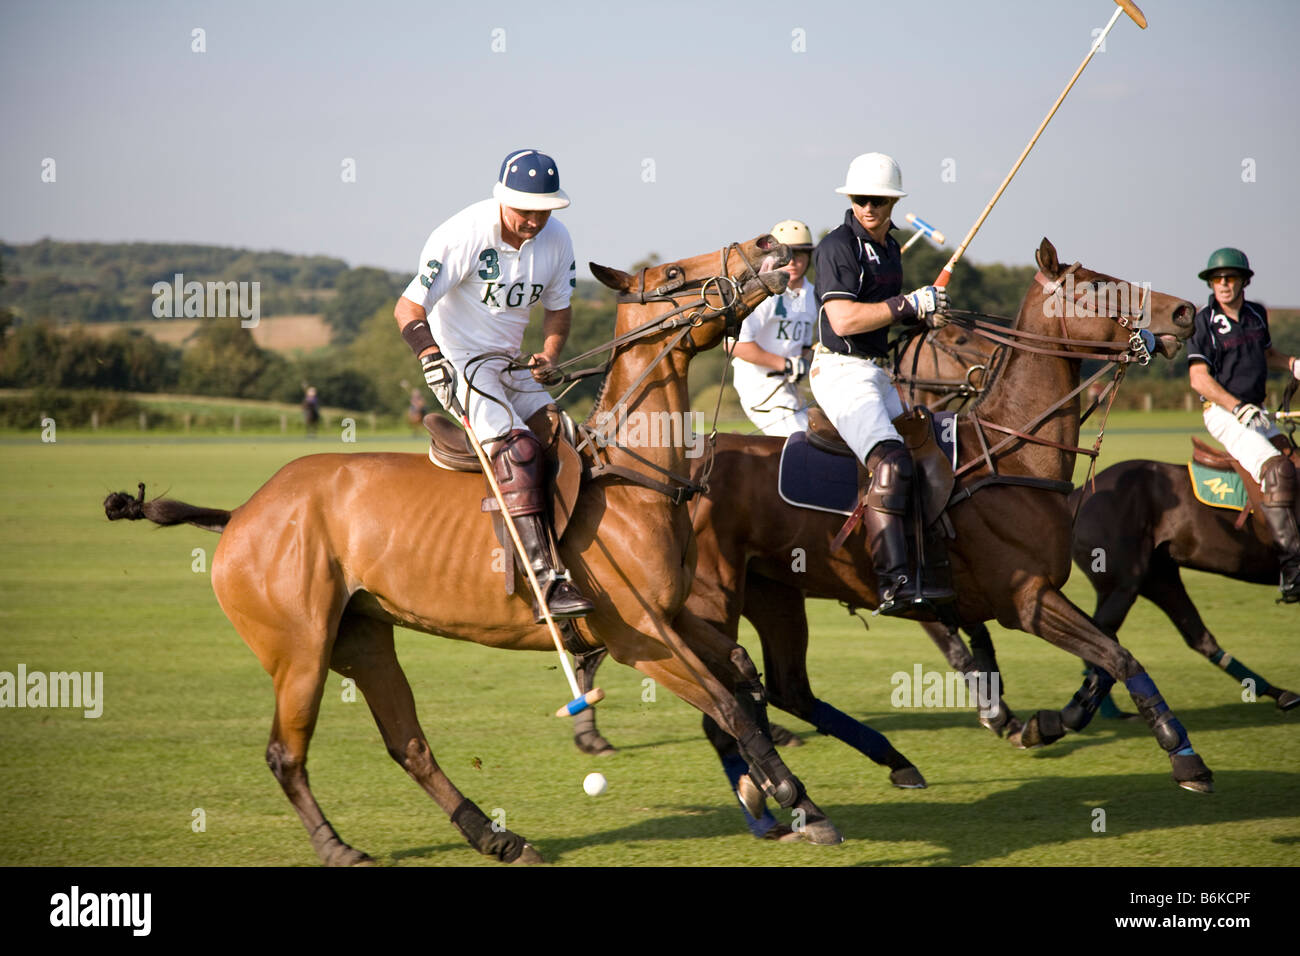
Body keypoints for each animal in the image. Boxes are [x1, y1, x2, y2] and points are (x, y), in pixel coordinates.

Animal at [106, 234, 847, 868]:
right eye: (670, 273)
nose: (767, 246)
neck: (634, 477)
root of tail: (241, 515)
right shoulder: (637, 635)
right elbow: (727, 704)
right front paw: (790, 796)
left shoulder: (674, 616)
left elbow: (743, 675)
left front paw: (795, 802)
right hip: (298, 651)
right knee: (285, 754)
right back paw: (339, 848)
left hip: (362, 635)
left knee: (407, 743)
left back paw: (496, 837)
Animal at [574, 239, 1211, 806]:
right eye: (1097, 287)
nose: (1185, 311)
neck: (1012, 455)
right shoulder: (1025, 600)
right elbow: (1116, 656)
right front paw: (1184, 756)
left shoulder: (1003, 599)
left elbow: (1098, 661)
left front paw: (1044, 722)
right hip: (708, 599)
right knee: (718, 693)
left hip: (773, 593)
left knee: (785, 687)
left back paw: (888, 763)